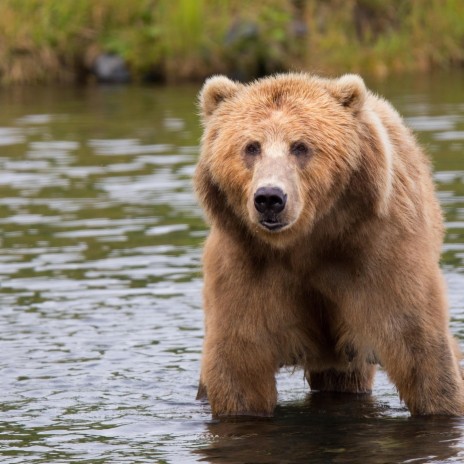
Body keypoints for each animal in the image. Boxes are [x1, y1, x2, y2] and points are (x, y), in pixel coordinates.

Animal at [193, 72, 464, 416]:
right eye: (251, 147)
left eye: (300, 146)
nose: (269, 198)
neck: (306, 242)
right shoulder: (246, 266)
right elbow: (239, 363)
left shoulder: (379, 255)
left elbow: (419, 347)